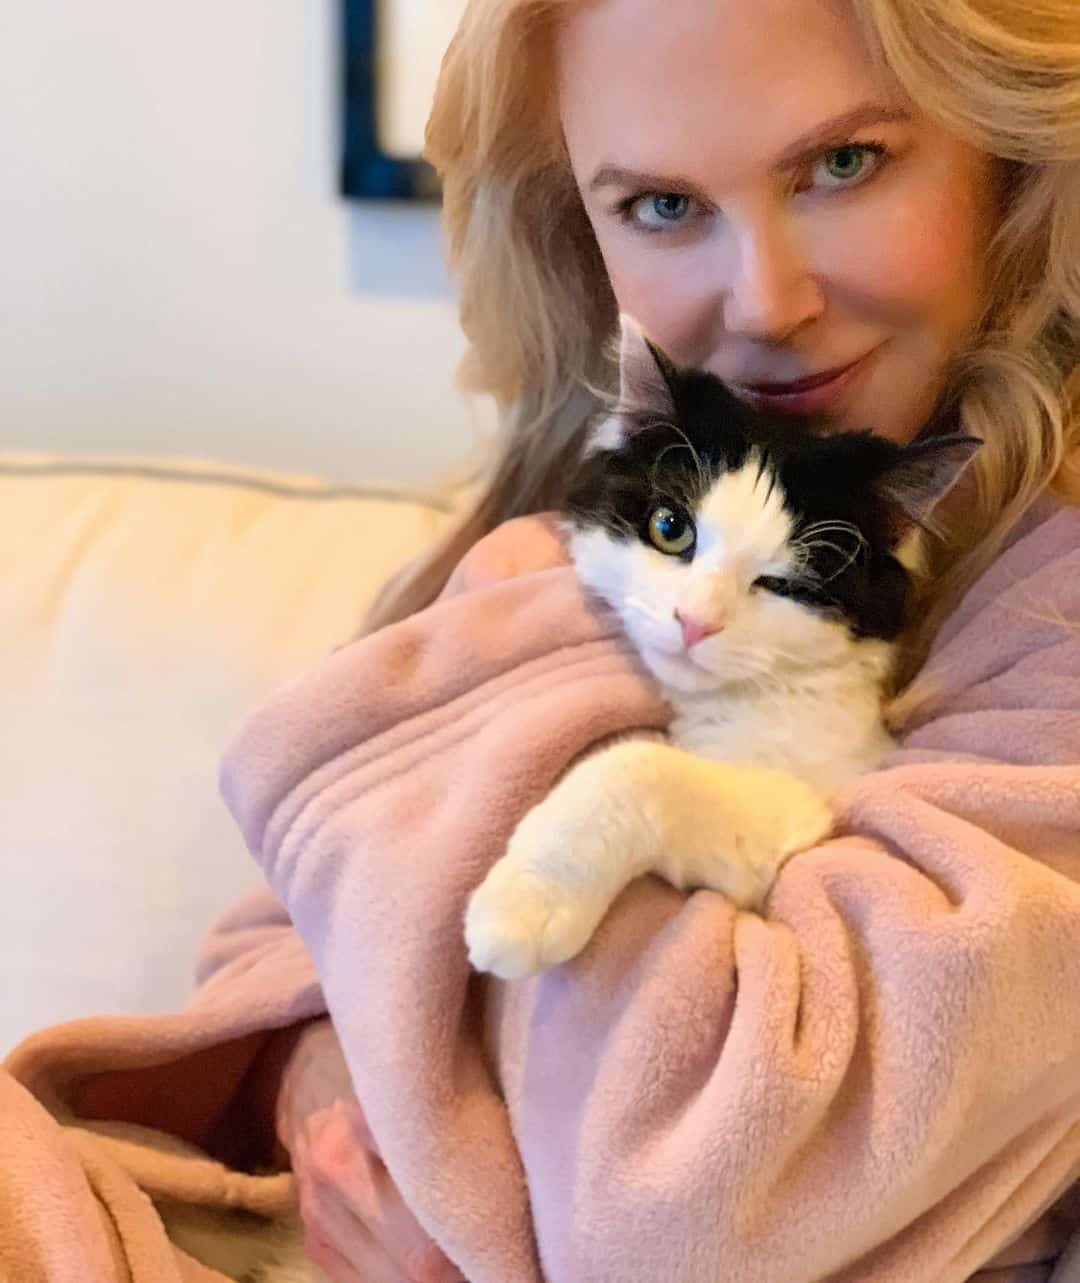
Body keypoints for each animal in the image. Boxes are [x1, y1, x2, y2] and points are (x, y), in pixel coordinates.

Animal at [461, 315, 974, 975]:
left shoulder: (807, 794)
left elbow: (641, 766)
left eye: (782, 584)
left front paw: (527, 898)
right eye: (670, 529)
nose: (695, 622)